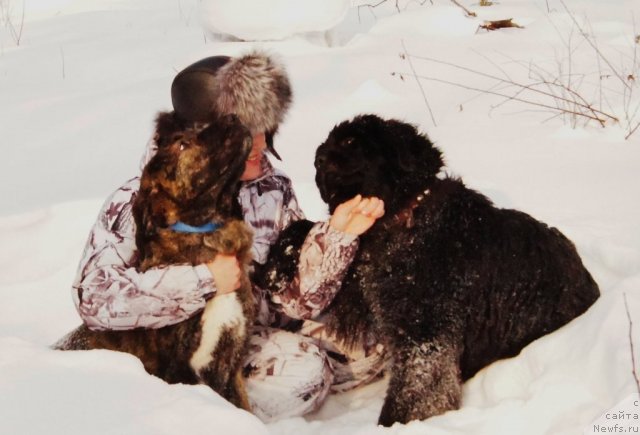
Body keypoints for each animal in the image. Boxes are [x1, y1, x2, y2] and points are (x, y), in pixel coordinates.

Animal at [258, 114, 596, 428]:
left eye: (352, 142)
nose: (318, 158)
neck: (400, 217)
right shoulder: (361, 283)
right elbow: (310, 234)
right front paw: (278, 261)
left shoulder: (425, 335)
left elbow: (415, 392)